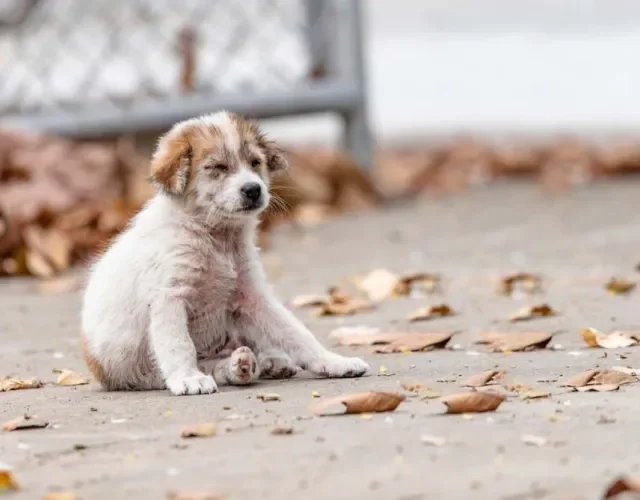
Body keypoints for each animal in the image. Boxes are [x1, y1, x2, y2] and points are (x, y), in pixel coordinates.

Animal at [80, 110, 370, 394]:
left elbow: (296, 334)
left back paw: (265, 362)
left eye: (255, 162)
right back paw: (239, 365)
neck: (216, 238)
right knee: (211, 367)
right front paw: (187, 377)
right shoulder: (169, 297)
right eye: (218, 168)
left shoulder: (253, 295)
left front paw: (334, 362)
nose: (253, 189)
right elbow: (179, 344)